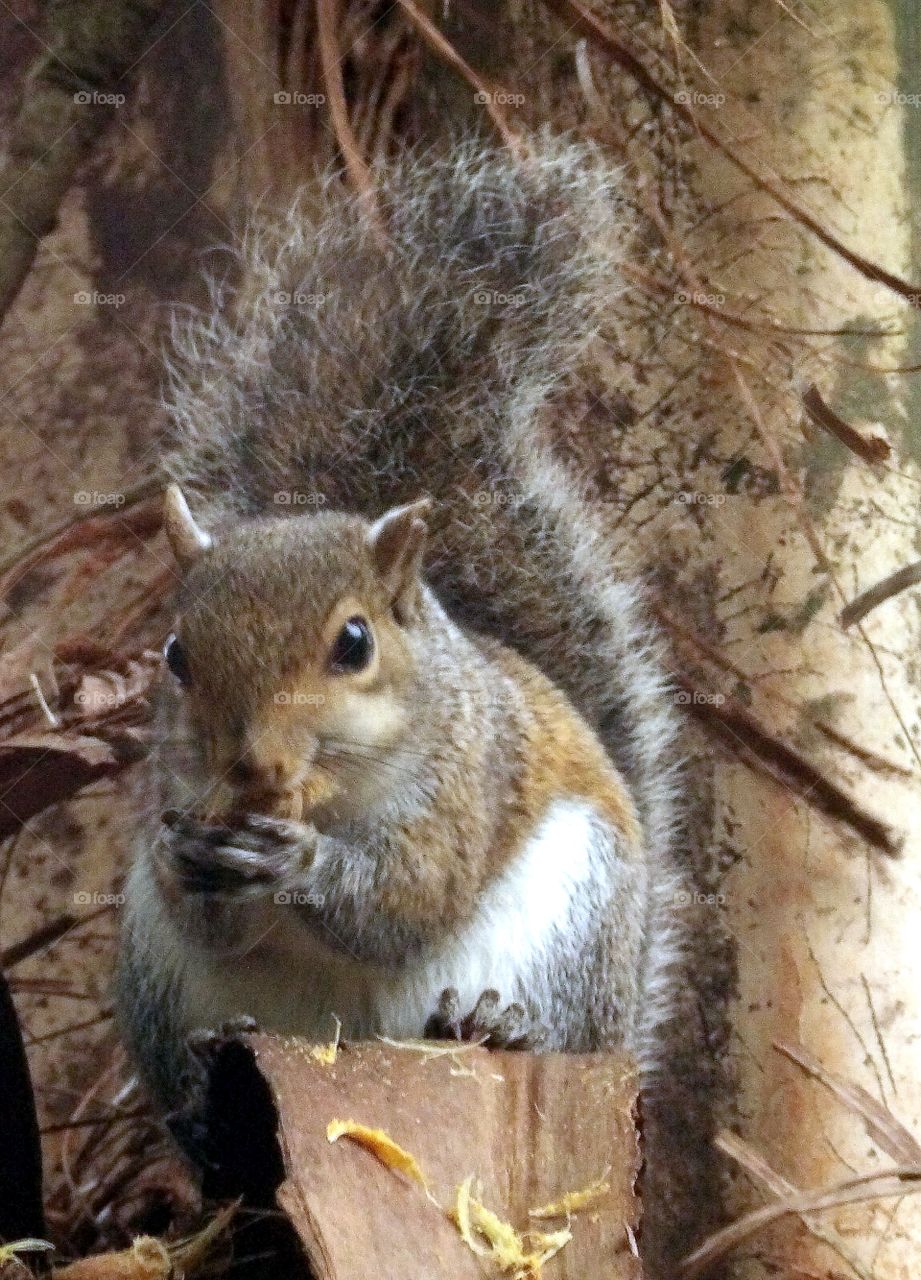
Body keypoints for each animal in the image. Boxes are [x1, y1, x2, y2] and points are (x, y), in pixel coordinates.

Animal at [117, 134, 687, 1125]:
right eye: (175, 655)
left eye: (354, 644)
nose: (252, 765)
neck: (332, 794)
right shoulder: (175, 786)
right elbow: (205, 914)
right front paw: (190, 855)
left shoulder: (466, 781)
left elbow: (407, 900)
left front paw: (306, 864)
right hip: (154, 969)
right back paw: (206, 1087)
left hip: (572, 917)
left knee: (543, 1026)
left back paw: (500, 1026)